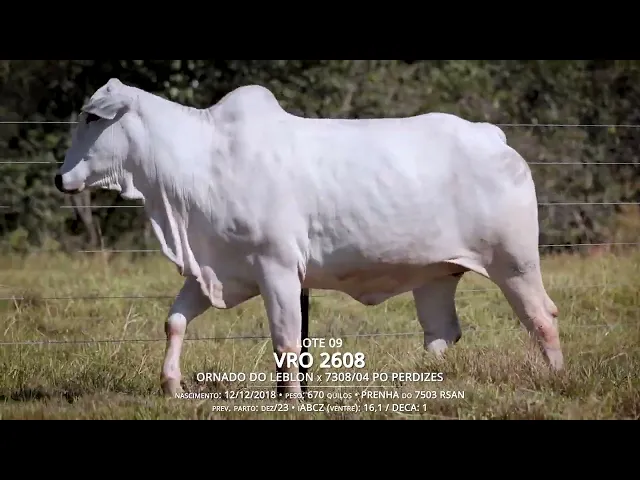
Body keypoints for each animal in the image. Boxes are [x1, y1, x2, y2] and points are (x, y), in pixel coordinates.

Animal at [55, 78, 564, 398]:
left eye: (91, 117)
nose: (61, 179)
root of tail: (493, 136)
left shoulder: (278, 268)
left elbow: (286, 342)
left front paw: (294, 399)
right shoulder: (215, 270)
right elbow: (174, 321)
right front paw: (171, 384)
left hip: (515, 262)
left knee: (542, 318)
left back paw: (559, 377)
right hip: (436, 274)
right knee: (441, 333)